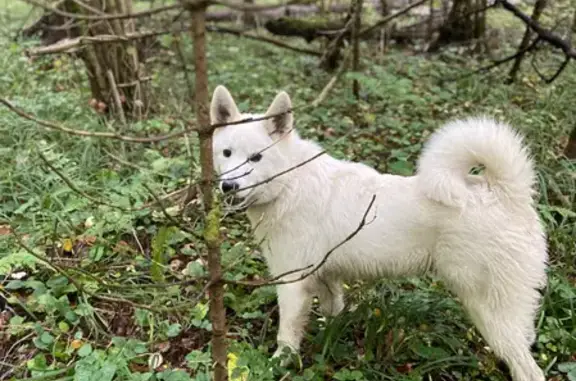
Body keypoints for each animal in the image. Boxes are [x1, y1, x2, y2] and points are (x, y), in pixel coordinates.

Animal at [210, 84, 548, 380]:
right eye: (226, 153)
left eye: (256, 157)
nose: (229, 186)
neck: (289, 183)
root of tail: (506, 194)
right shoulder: (327, 279)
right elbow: (333, 313)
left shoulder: (292, 284)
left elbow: (287, 336)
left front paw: (279, 364)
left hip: (488, 309)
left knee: (530, 371)